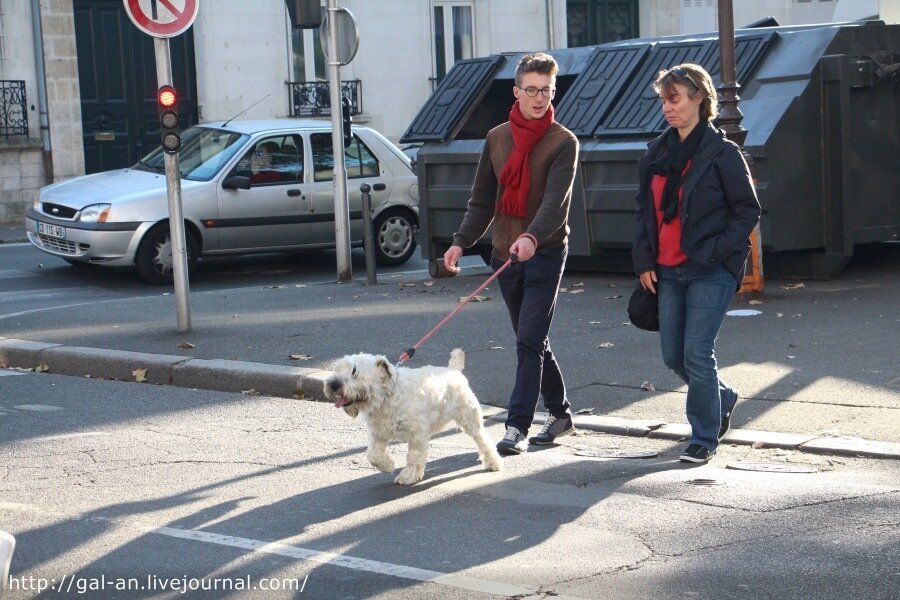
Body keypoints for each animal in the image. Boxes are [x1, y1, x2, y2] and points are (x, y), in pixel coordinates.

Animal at [326, 350, 506, 486]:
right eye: (338, 369)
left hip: (470, 419)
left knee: (484, 440)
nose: (333, 384)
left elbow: (414, 456)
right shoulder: (378, 433)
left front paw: (409, 476)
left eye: (355, 371)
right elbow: (372, 455)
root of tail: (454, 370)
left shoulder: (417, 434)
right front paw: (388, 466)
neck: (387, 395)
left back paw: (494, 463)